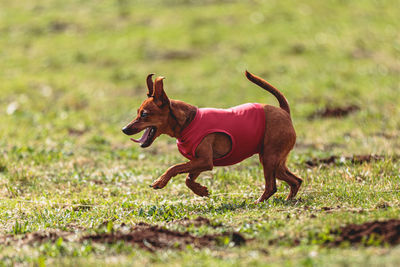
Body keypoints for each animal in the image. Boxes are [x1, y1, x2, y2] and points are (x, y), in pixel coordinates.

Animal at [122, 71, 304, 203]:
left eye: (144, 114)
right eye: (138, 112)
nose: (124, 129)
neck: (188, 122)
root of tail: (284, 111)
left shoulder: (205, 161)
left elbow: (174, 167)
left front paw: (161, 181)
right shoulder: (198, 161)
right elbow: (188, 178)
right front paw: (201, 190)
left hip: (268, 159)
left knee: (272, 186)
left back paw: (258, 202)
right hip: (276, 163)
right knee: (296, 180)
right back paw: (289, 200)